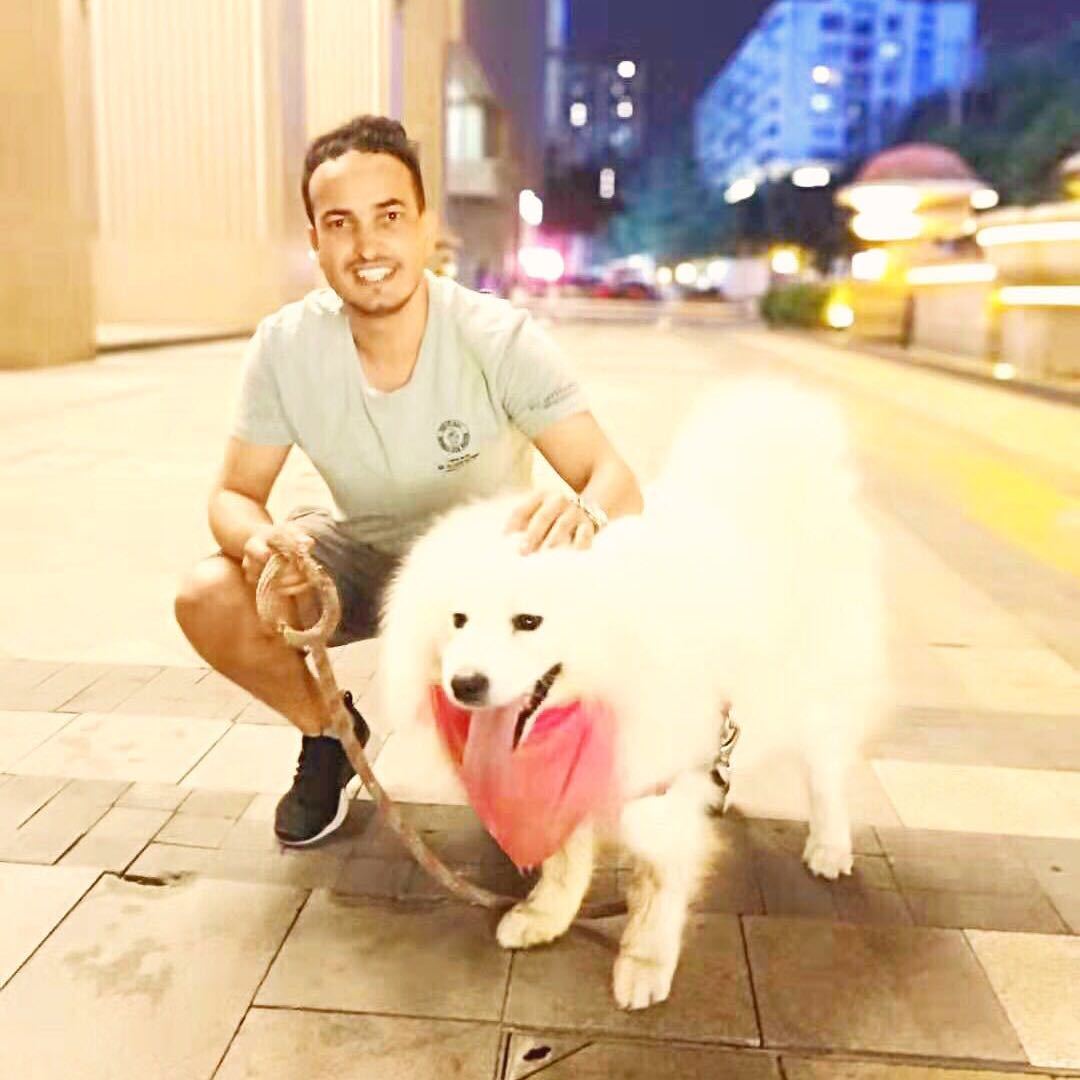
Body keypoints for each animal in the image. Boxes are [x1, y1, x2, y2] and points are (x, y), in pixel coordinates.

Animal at [376, 378, 886, 1011]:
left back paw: (829, 846)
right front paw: (545, 917)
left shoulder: (653, 782)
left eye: (528, 621)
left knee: (825, 772)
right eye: (458, 619)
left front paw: (644, 963)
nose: (466, 685)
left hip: (817, 691)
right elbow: (566, 862)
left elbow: (657, 884)